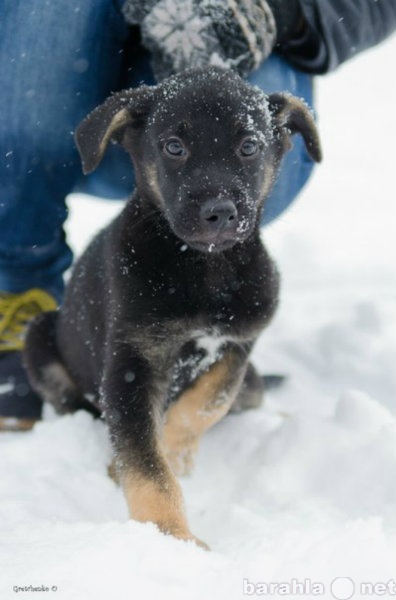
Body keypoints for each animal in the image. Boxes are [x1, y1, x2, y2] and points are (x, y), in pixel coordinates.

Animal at [24, 67, 322, 548]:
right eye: (174, 147)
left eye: (249, 145)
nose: (218, 213)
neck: (204, 268)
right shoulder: (132, 363)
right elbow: (146, 464)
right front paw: (171, 535)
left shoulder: (236, 346)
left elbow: (206, 404)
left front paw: (176, 451)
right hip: (38, 336)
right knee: (77, 406)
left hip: (252, 382)